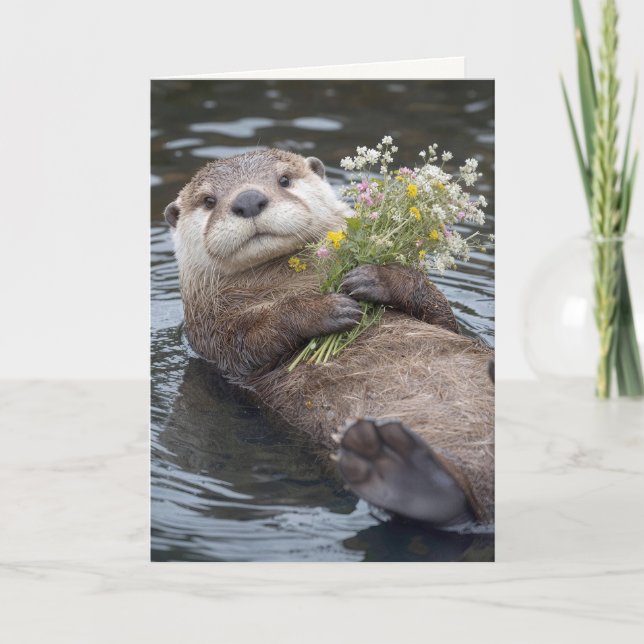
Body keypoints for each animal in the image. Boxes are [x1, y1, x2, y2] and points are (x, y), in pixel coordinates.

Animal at [165, 148, 494, 530]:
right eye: (209, 201)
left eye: (284, 180)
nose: (247, 200)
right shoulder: (209, 332)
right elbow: (249, 340)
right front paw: (325, 308)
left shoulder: (444, 319)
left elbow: (441, 313)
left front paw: (375, 278)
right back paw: (390, 461)